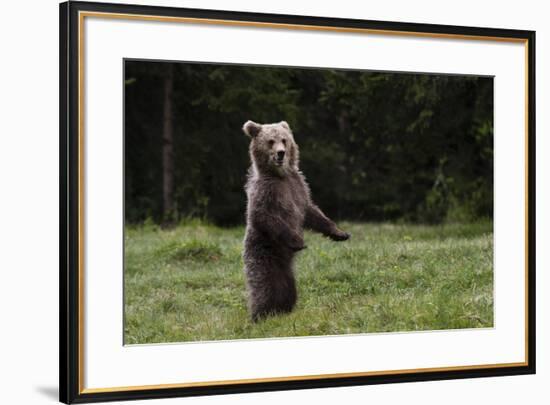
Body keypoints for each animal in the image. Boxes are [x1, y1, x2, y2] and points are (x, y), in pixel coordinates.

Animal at [244, 118, 352, 320]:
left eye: (284, 140)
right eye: (270, 141)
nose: (281, 153)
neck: (280, 176)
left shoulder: (298, 187)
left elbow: (313, 212)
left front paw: (340, 233)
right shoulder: (267, 192)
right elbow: (264, 216)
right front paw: (298, 241)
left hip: (285, 269)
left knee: (288, 289)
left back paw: (284, 309)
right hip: (264, 253)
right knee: (265, 286)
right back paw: (260, 314)